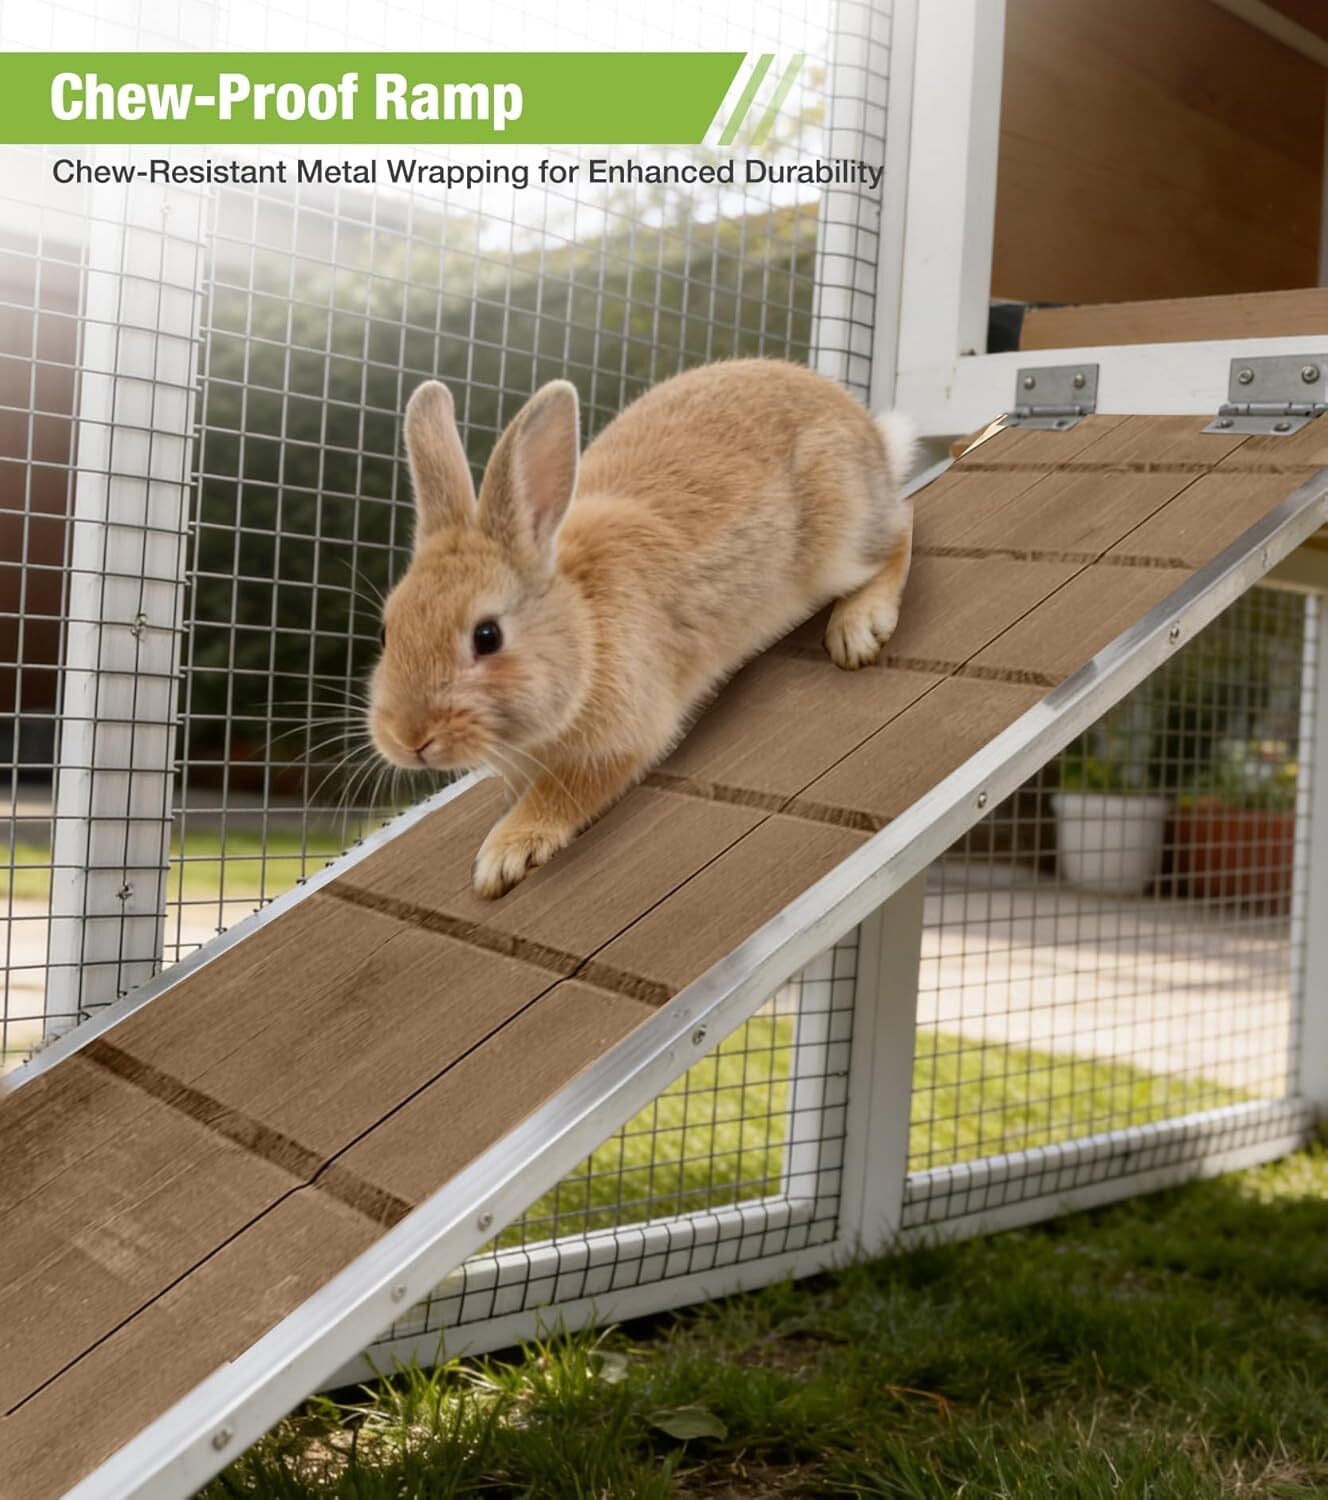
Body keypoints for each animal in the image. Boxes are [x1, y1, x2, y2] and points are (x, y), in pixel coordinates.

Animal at [370, 358, 916, 899]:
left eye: (487, 636)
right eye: (386, 633)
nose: (409, 738)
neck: (584, 629)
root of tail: (867, 430)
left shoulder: (619, 737)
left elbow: (561, 796)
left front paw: (503, 856)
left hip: (838, 544)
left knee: (902, 529)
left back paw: (858, 628)